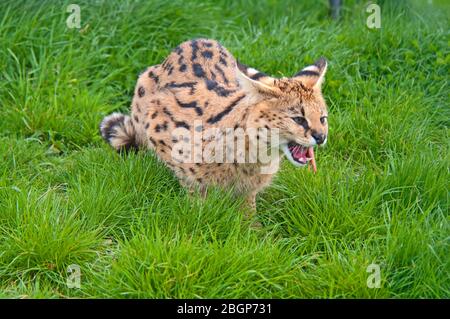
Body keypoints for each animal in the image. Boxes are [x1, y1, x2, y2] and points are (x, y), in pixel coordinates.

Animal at [101, 38, 326, 222]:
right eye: (299, 119)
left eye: (323, 119)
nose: (321, 137)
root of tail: (196, 39)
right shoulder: (157, 119)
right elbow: (191, 182)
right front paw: (199, 214)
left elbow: (248, 203)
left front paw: (253, 228)